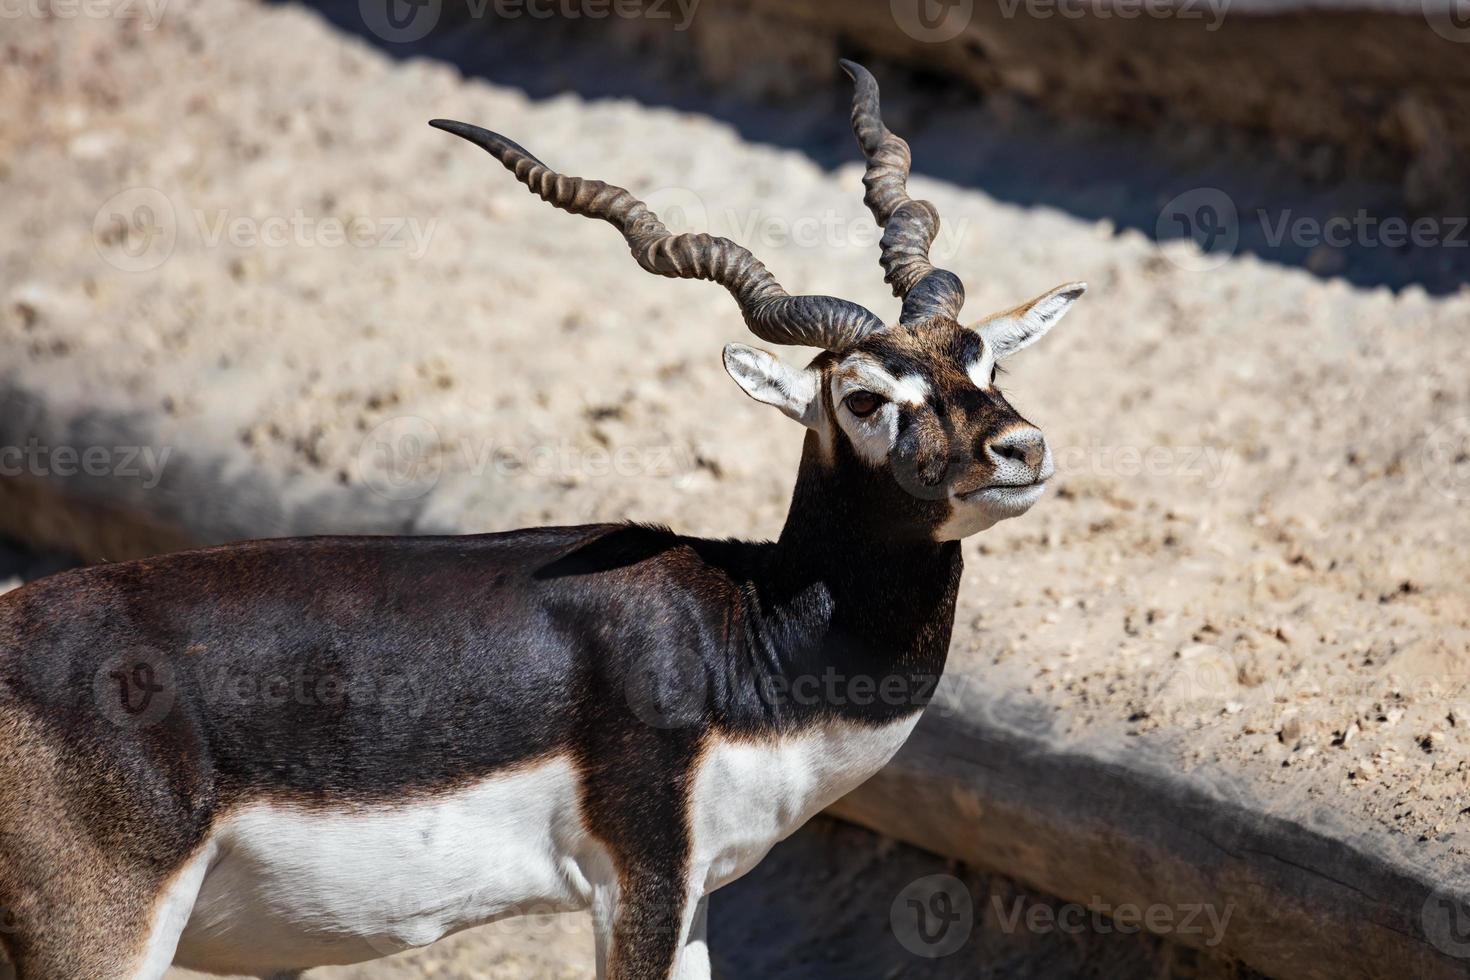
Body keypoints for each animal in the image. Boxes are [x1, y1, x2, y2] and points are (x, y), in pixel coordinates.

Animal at [0, 63, 1081, 980]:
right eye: (863, 398)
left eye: (984, 360)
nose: (1019, 450)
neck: (748, 630)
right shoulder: (642, 879)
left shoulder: (693, 894)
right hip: (102, 937)